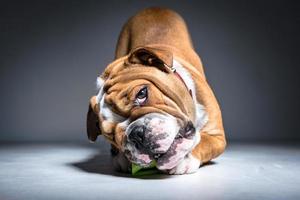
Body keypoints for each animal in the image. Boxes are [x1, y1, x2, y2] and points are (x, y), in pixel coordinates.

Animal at [85, 7, 226, 173]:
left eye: (142, 93)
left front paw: (185, 159)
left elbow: (203, 143)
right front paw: (121, 158)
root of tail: (154, 8)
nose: (136, 134)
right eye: (111, 136)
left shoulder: (217, 136)